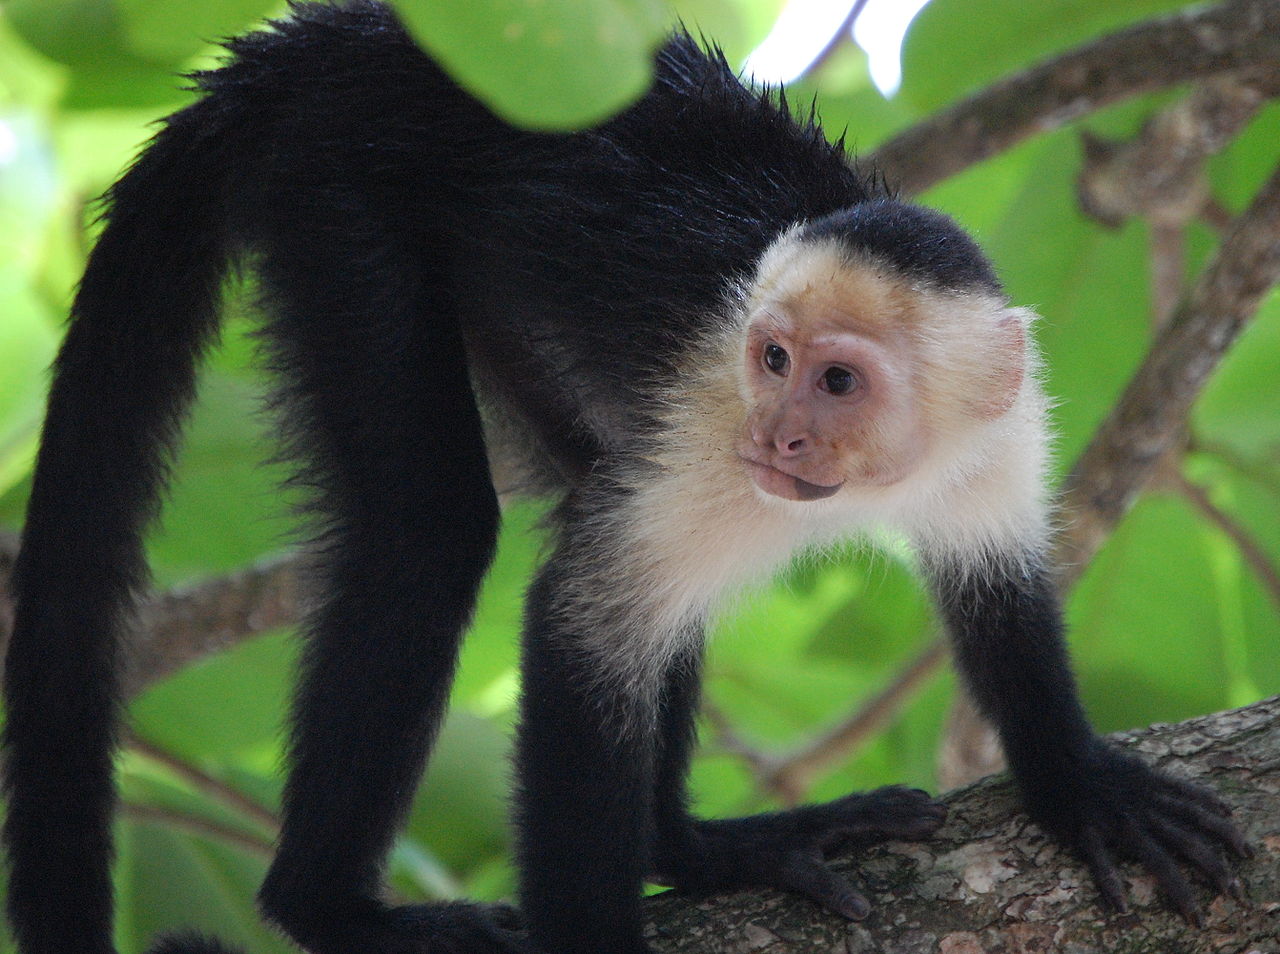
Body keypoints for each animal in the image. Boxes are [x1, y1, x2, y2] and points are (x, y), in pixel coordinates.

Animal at [0, 1, 1244, 952]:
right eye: (771, 361)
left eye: (837, 382)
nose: (779, 439)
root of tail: (340, 37)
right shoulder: (710, 426)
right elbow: (580, 627)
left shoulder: (999, 435)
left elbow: (997, 592)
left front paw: (1075, 782)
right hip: (339, 196)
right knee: (432, 536)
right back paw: (328, 909)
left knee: (589, 496)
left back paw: (695, 851)